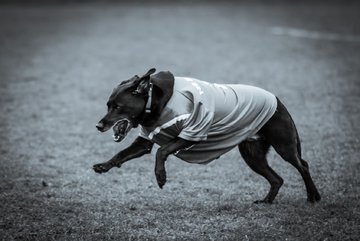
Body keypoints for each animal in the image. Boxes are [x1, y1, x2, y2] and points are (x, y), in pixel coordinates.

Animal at [92, 68, 320, 203]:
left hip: (284, 144)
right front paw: (104, 165)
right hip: (253, 155)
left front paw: (161, 177)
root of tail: (277, 100)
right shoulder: (145, 141)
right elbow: (122, 154)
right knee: (277, 179)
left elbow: (162, 151)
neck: (154, 101)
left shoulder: (193, 131)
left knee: (303, 165)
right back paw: (266, 201)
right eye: (107, 105)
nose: (98, 125)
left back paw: (313, 196)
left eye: (118, 107)